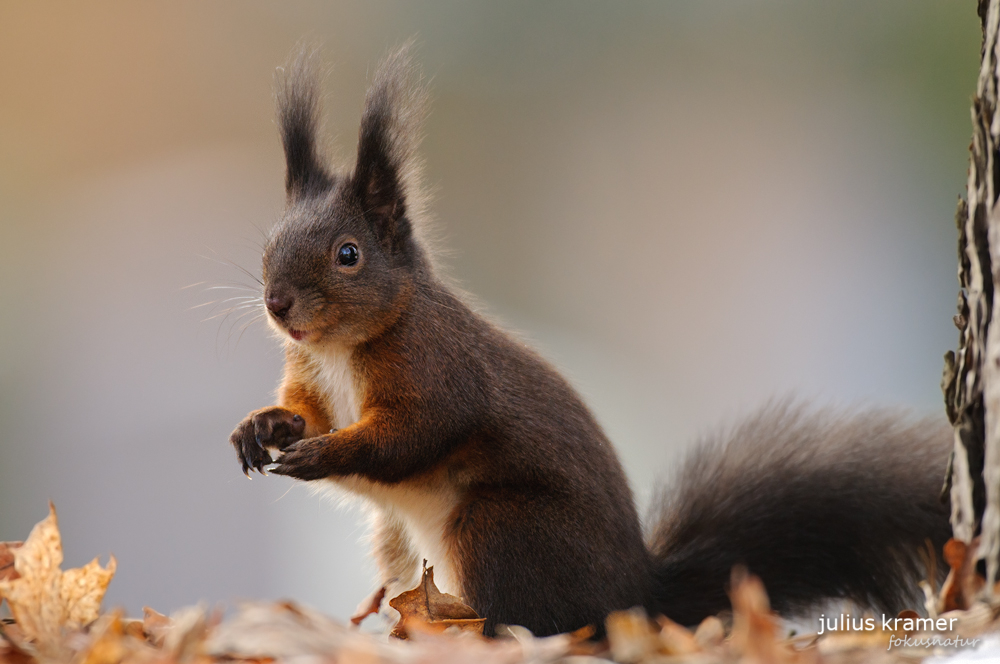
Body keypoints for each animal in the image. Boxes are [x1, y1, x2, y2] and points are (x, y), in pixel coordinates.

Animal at [229, 46, 952, 640]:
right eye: (268, 246)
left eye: (348, 254)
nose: (278, 303)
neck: (339, 347)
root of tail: (633, 596)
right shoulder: (310, 372)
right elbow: (306, 411)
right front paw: (262, 427)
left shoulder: (437, 369)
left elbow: (411, 433)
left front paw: (323, 453)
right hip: (403, 544)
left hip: (498, 528)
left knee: (532, 622)